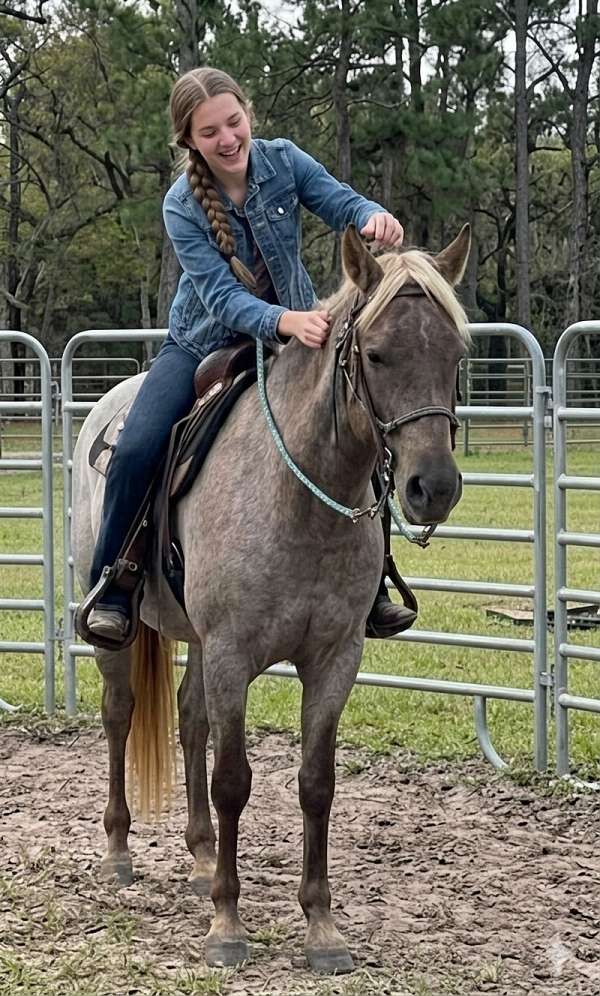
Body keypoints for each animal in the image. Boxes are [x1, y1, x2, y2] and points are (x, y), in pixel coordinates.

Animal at [72, 224, 471, 974]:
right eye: (377, 353)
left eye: (457, 353)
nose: (433, 487)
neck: (300, 495)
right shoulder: (234, 653)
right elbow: (233, 779)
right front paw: (227, 926)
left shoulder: (334, 659)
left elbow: (316, 783)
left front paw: (322, 928)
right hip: (122, 634)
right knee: (119, 715)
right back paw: (117, 851)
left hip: (199, 641)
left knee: (190, 718)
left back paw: (202, 858)